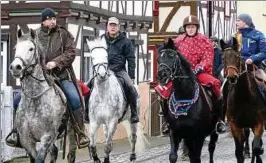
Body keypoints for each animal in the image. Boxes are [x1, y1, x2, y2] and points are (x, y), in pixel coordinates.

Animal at [8, 29, 77, 163]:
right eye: (15, 48)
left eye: (31, 49)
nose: (15, 67)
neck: (34, 101)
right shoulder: (27, 141)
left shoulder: (46, 137)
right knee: (54, 151)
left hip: (70, 134)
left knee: (71, 154)